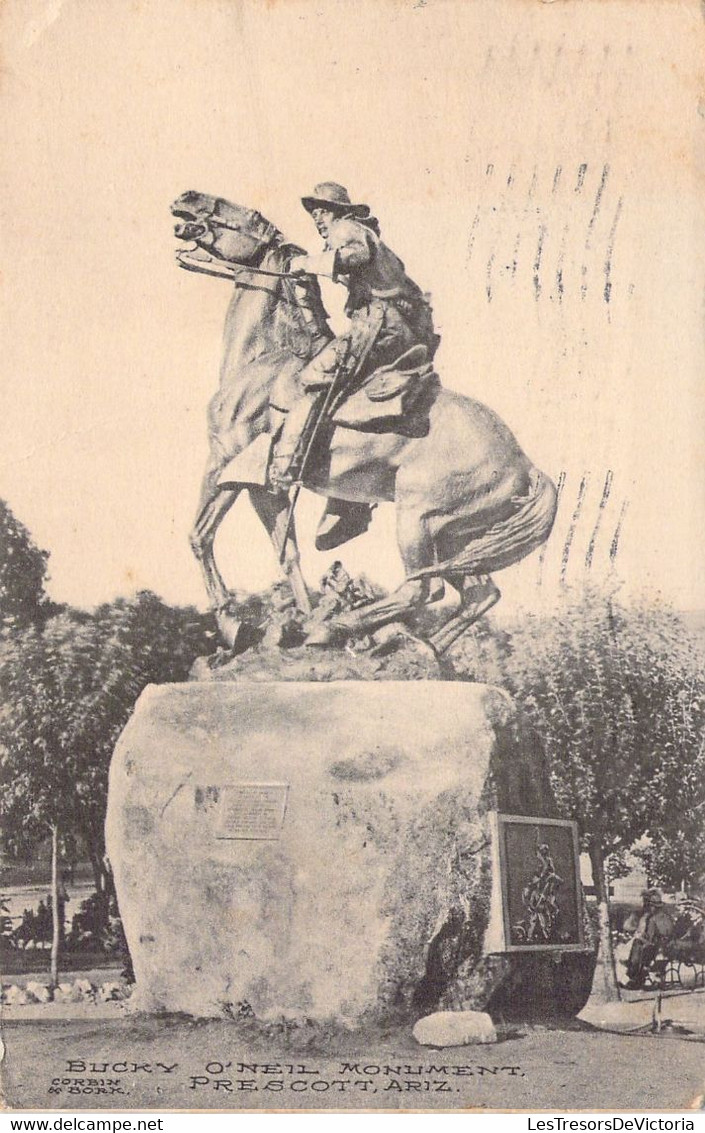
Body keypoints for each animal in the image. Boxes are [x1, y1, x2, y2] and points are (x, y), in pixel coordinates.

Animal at [171, 192, 557, 657]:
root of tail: (526, 464)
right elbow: (288, 553)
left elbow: (201, 535)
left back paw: (342, 630)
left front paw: (234, 622)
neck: (263, 359)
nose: (186, 198)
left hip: (418, 518)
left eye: (250, 215)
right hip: (454, 535)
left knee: (422, 589)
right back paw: (415, 647)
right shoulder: (263, 486)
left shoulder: (229, 462)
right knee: (479, 592)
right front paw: (295, 620)